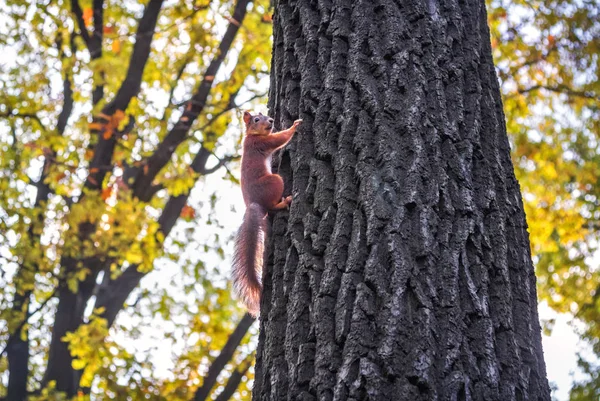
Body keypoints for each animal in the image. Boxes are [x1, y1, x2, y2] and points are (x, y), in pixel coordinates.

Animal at [232, 110, 302, 316]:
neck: (251, 136)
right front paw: (295, 126)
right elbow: (281, 138)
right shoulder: (264, 143)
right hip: (274, 182)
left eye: (264, 114)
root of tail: (252, 205)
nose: (271, 120)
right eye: (256, 119)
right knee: (272, 206)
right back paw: (285, 202)